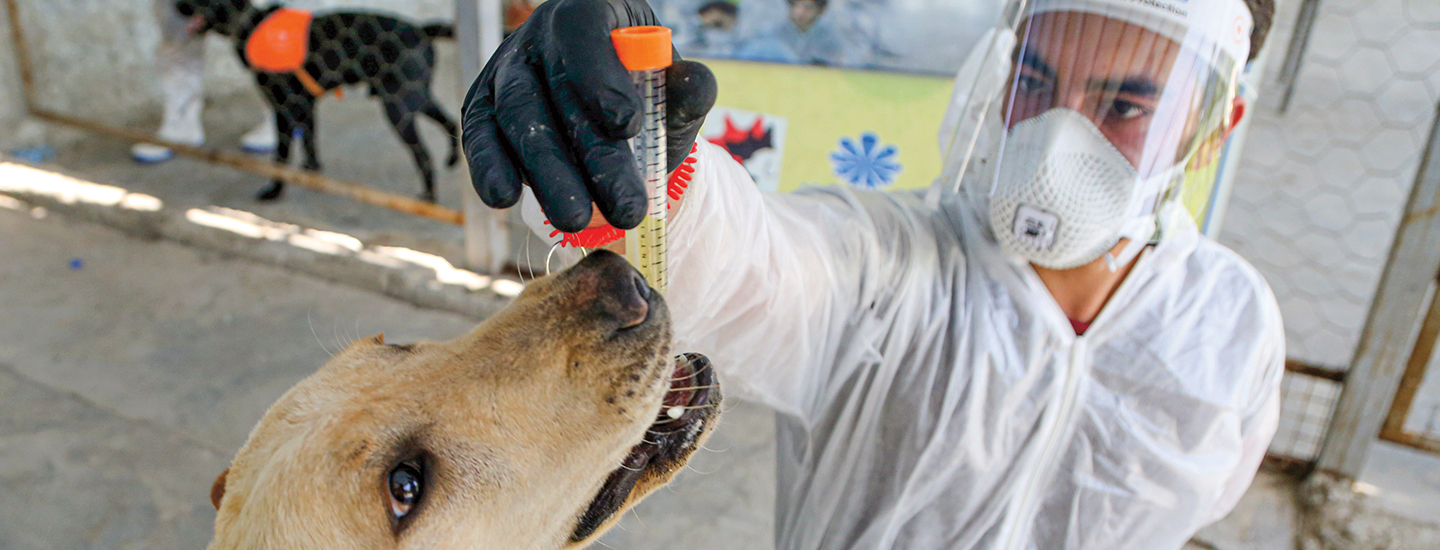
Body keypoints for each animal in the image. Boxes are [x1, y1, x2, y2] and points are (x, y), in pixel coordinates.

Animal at [175, 0, 460, 201]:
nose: (176, 5)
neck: (249, 25)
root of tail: (422, 30)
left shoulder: (284, 109)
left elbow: (280, 157)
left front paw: (275, 190)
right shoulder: (307, 104)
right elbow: (310, 141)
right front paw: (311, 171)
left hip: (397, 108)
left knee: (424, 155)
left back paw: (429, 196)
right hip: (415, 99)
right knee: (452, 122)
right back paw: (452, 159)